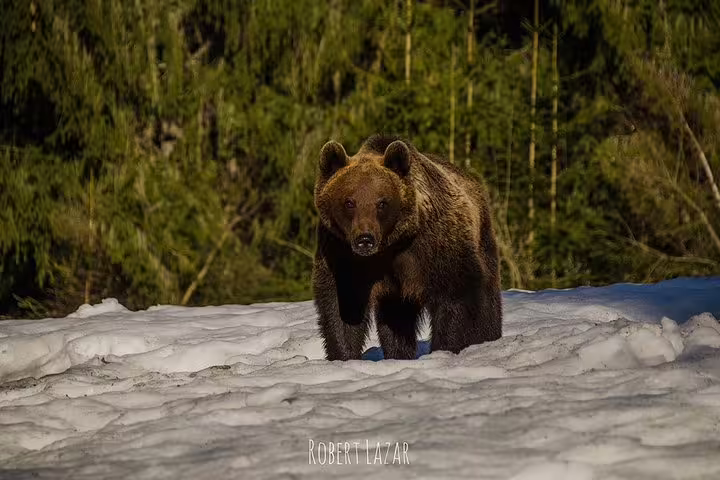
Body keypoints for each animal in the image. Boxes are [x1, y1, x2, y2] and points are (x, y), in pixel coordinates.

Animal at [312, 134, 502, 361]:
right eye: (349, 202)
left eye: (382, 202)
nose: (365, 239)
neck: (391, 245)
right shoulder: (342, 253)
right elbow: (344, 306)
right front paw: (343, 355)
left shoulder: (435, 246)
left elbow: (455, 295)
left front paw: (446, 347)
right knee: (396, 319)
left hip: (482, 240)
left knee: (487, 300)